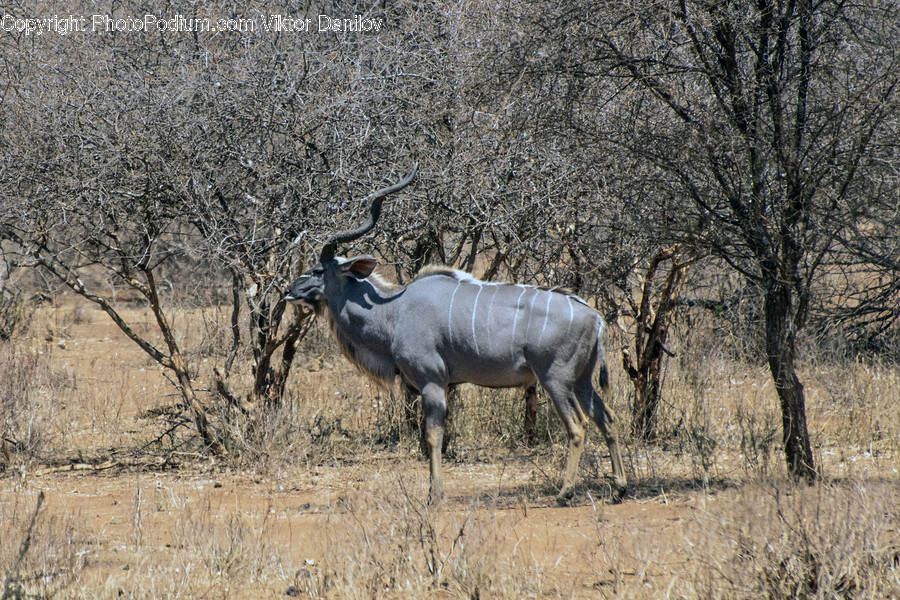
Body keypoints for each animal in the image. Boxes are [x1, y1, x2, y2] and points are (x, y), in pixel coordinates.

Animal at [285, 165, 627, 504]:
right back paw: (619, 488)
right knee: (607, 419)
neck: (394, 312)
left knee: (579, 426)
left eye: (317, 270)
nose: (289, 290)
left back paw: (565, 492)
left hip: (555, 379)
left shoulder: (432, 382)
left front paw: (434, 495)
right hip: (581, 381)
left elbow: (433, 437)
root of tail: (595, 317)